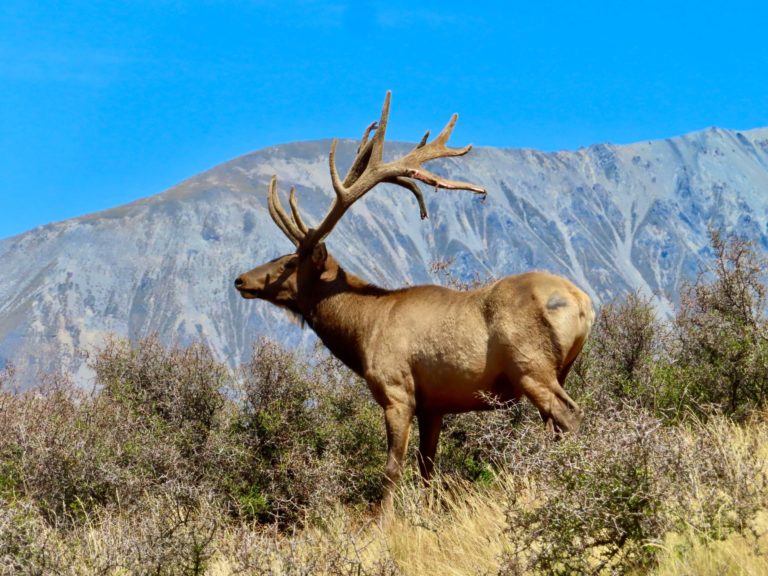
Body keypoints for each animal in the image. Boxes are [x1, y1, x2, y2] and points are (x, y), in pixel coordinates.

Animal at [235, 92, 594, 513]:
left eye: (289, 262)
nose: (240, 279)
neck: (362, 332)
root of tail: (583, 303)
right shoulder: (433, 405)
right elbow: (427, 469)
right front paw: (429, 515)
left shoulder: (397, 390)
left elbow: (392, 467)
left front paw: (382, 522)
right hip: (559, 370)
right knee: (556, 427)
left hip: (530, 365)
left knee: (571, 417)